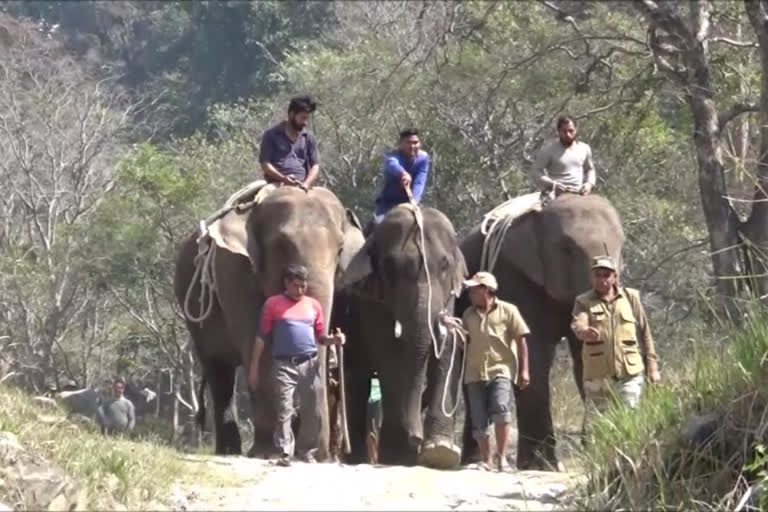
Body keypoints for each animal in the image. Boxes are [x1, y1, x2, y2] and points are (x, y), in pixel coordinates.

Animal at [175, 186, 366, 458]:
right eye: (281, 246)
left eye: (340, 249)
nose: (318, 455)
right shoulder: (234, 270)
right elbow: (258, 342)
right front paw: (268, 451)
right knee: (220, 371)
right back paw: (230, 451)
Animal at [340, 204, 468, 468]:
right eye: (389, 269)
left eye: (444, 267)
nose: (416, 438)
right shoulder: (371, 300)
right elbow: (387, 355)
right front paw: (398, 454)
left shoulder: (449, 297)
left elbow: (447, 347)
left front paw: (440, 453)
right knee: (356, 378)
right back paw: (359, 458)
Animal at [456, 193, 624, 472]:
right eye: (566, 249)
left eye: (621, 248)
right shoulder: (515, 275)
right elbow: (532, 352)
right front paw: (540, 465)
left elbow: (586, 355)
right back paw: (474, 461)